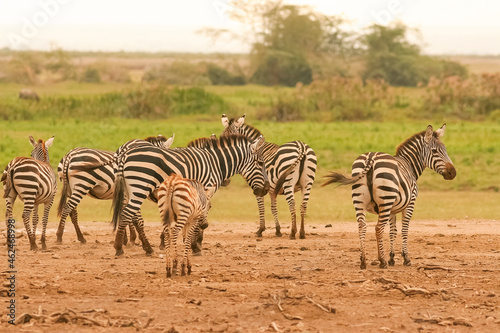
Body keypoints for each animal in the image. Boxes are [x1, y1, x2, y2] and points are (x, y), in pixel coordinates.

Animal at [111, 134, 272, 255]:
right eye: (260, 163)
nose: (265, 189)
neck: (215, 163)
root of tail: (124, 153)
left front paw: (188, 242)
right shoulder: (205, 188)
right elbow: (200, 218)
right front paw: (195, 246)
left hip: (129, 190)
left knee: (131, 216)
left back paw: (144, 247)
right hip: (140, 186)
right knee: (127, 214)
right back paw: (120, 248)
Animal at [320, 124, 458, 268]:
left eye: (445, 150)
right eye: (434, 151)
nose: (453, 173)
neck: (409, 165)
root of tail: (371, 157)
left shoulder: (393, 208)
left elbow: (393, 231)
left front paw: (392, 258)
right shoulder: (410, 203)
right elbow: (404, 229)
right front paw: (405, 258)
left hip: (359, 200)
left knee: (362, 226)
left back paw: (363, 261)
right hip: (385, 201)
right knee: (378, 228)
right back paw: (382, 261)